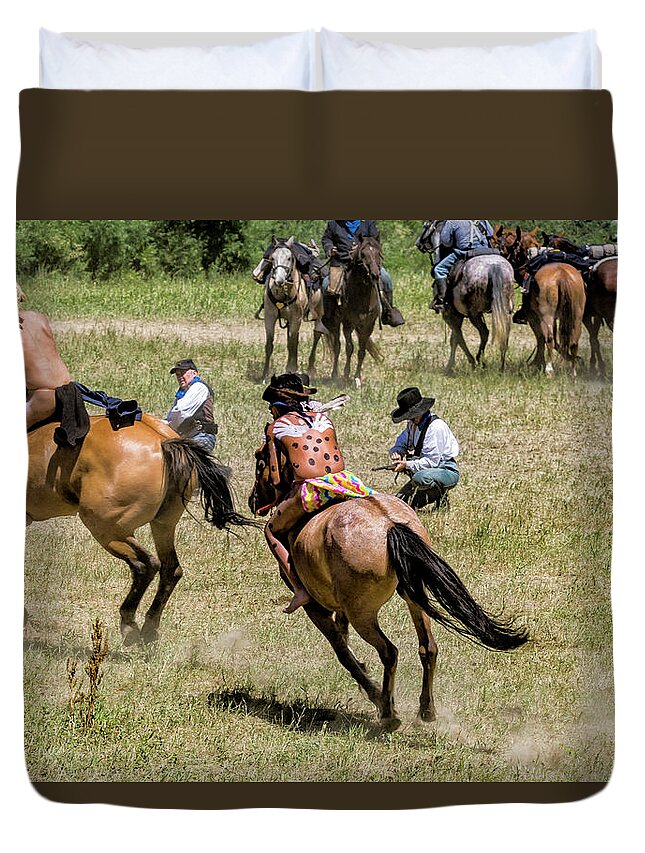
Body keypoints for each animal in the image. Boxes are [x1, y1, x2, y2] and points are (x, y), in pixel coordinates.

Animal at [27, 414, 255, 644]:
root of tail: (162, 441)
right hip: (163, 525)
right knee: (170, 569)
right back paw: (150, 627)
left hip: (107, 528)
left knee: (145, 565)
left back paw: (129, 624)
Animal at [249, 446, 524, 732]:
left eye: (260, 465)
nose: (252, 501)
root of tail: (390, 524)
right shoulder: (341, 606)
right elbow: (344, 639)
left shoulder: (315, 608)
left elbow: (342, 651)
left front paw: (372, 691)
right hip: (414, 596)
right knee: (428, 647)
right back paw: (425, 710)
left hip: (363, 615)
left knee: (389, 652)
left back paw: (387, 712)